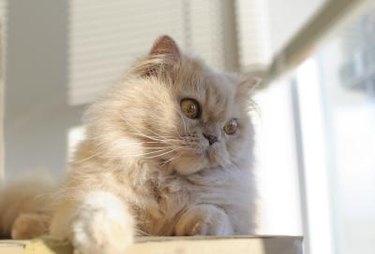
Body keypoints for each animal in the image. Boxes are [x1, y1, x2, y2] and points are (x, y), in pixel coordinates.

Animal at [0, 35, 262, 254]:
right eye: (190, 108)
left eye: (230, 128)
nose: (214, 138)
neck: (166, 178)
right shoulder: (91, 192)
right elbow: (101, 209)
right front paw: (101, 241)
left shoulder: (236, 214)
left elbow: (213, 213)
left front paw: (200, 228)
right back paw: (22, 226)